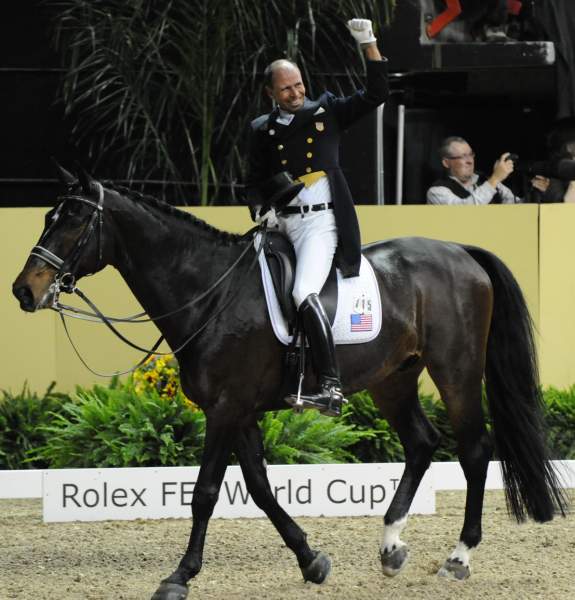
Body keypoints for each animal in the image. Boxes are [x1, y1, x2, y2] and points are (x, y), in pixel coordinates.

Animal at [12, 170, 568, 600]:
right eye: (47, 218)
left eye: (75, 220)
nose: (24, 291)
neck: (209, 292)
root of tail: (462, 251)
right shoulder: (239, 411)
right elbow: (258, 487)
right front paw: (311, 559)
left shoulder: (226, 407)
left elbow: (206, 492)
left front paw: (179, 577)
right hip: (394, 379)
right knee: (421, 443)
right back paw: (390, 546)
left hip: (455, 370)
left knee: (474, 449)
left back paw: (458, 557)